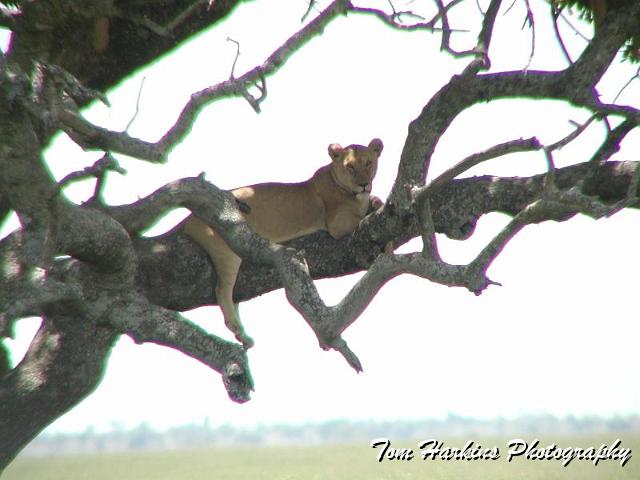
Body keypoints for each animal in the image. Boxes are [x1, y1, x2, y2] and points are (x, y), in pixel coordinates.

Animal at [184, 138, 384, 349]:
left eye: (368, 163)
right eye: (350, 166)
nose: (364, 184)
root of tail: (187, 221)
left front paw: (375, 201)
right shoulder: (337, 224)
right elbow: (360, 217)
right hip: (227, 249)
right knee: (222, 290)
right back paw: (239, 331)